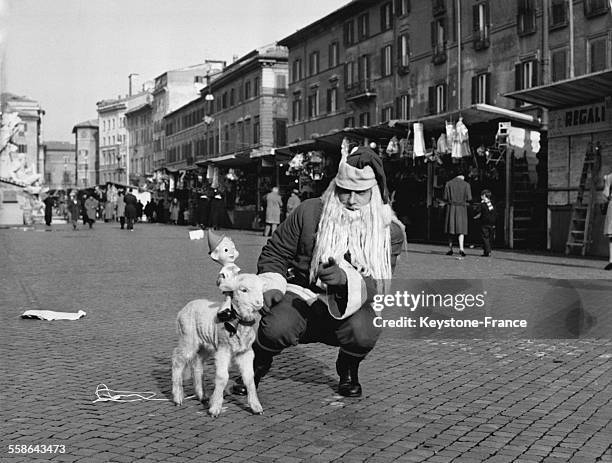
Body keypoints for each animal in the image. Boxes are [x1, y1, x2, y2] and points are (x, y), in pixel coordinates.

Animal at [171, 274, 264, 418]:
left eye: (262, 289)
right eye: (243, 290)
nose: (259, 302)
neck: (239, 323)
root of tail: (184, 308)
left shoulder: (246, 352)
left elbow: (249, 377)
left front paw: (256, 406)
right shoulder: (223, 349)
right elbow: (222, 377)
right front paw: (215, 409)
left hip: (205, 345)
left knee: (197, 364)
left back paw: (202, 395)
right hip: (188, 338)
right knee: (177, 360)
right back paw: (178, 397)